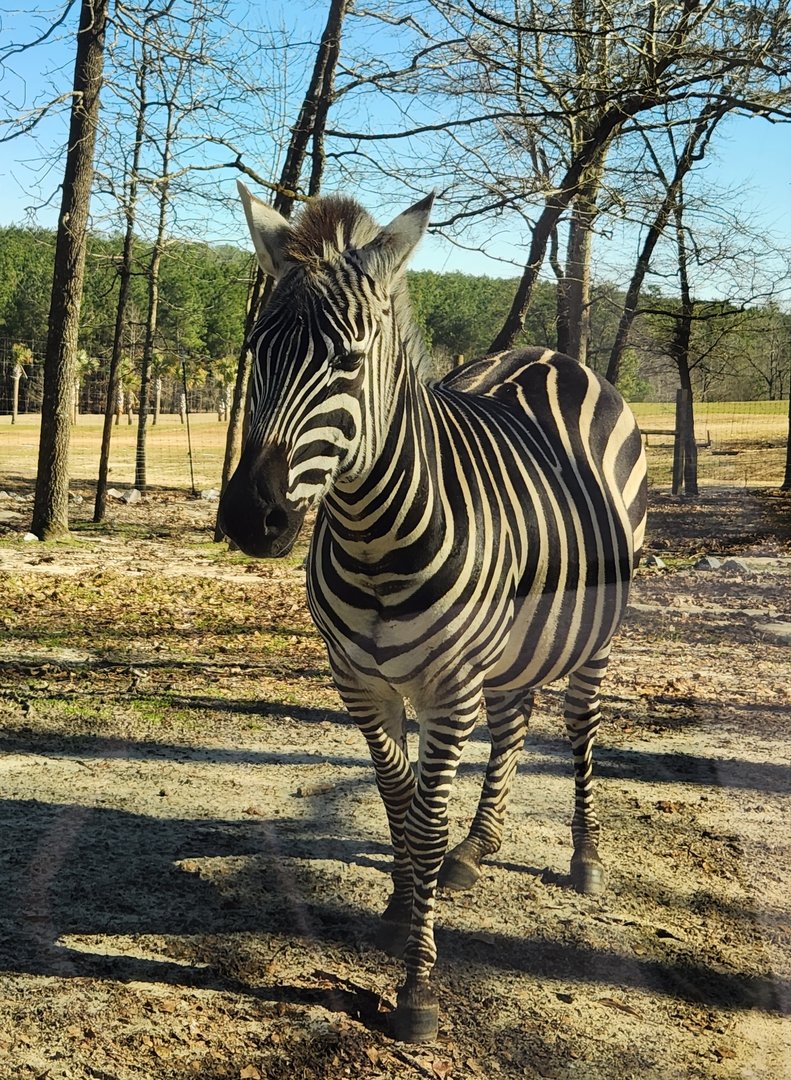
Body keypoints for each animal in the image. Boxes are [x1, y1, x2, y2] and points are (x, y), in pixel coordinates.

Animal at [218, 181, 648, 1044]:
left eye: (349, 361)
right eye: (254, 351)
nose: (252, 518)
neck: (372, 534)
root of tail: (549, 355)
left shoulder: (448, 689)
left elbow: (420, 817)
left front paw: (416, 988)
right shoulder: (360, 683)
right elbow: (398, 801)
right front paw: (398, 902)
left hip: (594, 635)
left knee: (580, 727)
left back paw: (584, 858)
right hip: (516, 640)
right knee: (515, 719)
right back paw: (475, 848)